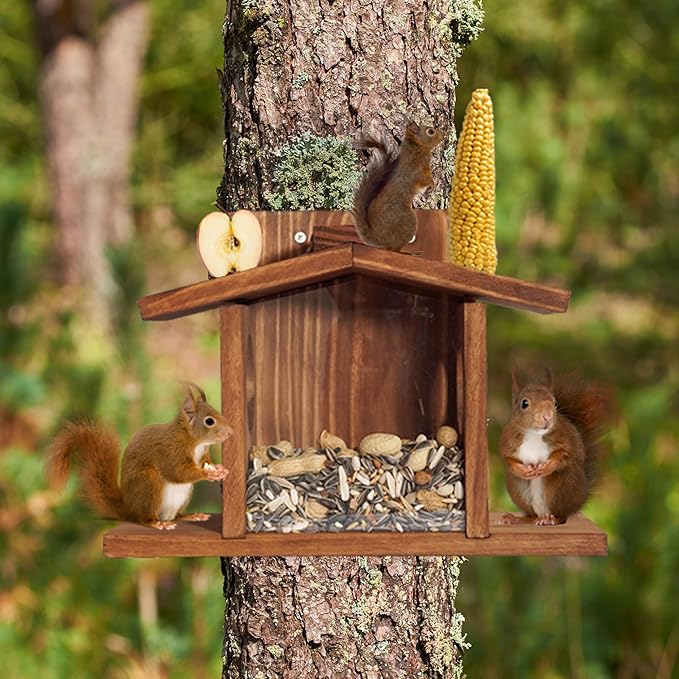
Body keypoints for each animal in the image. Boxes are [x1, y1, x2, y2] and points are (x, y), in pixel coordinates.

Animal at [46, 383, 233, 530]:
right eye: (209, 421)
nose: (231, 432)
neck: (195, 442)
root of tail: (130, 509)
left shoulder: (202, 454)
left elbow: (205, 463)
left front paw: (220, 469)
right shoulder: (170, 451)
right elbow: (177, 471)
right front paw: (208, 474)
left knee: (176, 516)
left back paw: (190, 516)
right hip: (149, 484)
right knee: (144, 519)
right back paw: (156, 523)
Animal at [351, 121, 443, 252]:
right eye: (430, 131)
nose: (443, 135)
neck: (415, 147)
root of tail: (380, 239)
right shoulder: (420, 171)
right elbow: (425, 181)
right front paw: (432, 186)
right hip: (408, 221)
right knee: (395, 248)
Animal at [499, 368, 610, 526]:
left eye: (555, 403)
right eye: (524, 403)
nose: (548, 417)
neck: (534, 434)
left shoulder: (566, 440)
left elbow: (563, 455)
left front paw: (546, 467)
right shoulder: (508, 441)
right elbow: (508, 459)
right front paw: (522, 469)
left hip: (561, 486)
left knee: (561, 516)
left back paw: (551, 519)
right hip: (517, 487)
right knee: (531, 515)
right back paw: (516, 519)